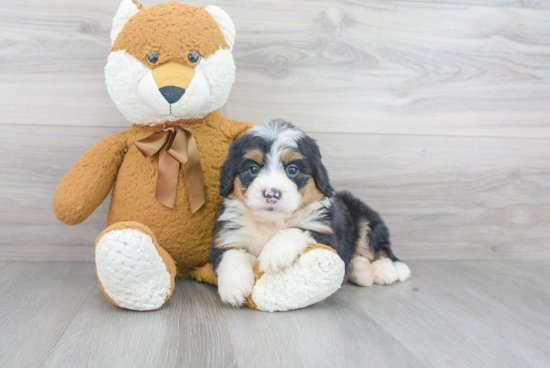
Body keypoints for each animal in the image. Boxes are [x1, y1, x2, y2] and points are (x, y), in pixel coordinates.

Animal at [210, 121, 410, 308]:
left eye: (292, 170)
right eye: (253, 169)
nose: (271, 194)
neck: (271, 222)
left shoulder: (326, 232)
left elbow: (297, 229)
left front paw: (275, 252)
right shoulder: (228, 234)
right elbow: (230, 254)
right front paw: (234, 285)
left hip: (365, 218)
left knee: (379, 248)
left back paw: (384, 270)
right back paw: (361, 271)